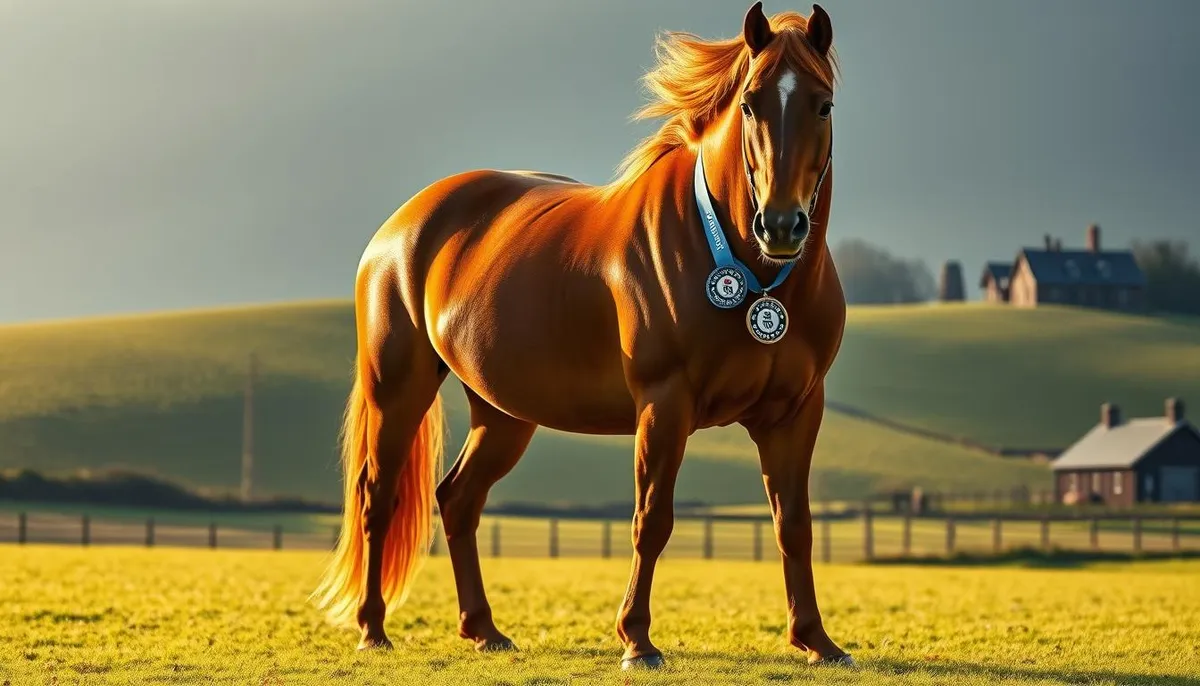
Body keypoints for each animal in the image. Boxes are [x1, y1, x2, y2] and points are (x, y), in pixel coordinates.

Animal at [310, 1, 853, 670]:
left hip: (503, 412)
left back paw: (484, 629)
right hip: (397, 389)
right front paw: (637, 640)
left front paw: (816, 640)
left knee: (459, 499)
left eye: (822, 104)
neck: (750, 273)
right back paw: (373, 628)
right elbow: (653, 519)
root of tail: (400, 227)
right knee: (377, 497)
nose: (780, 225)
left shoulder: (795, 412)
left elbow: (794, 525)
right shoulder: (664, 404)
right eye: (751, 103)